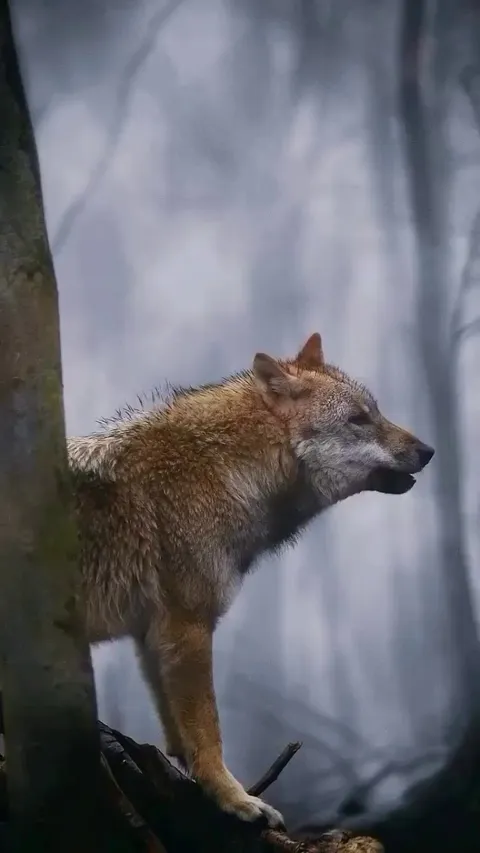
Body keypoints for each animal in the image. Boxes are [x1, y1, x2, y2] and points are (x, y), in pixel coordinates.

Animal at [68, 332, 434, 828]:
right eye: (359, 419)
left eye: (375, 411)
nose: (428, 451)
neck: (222, 470)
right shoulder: (188, 628)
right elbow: (208, 734)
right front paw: (235, 799)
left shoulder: (150, 636)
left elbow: (178, 734)